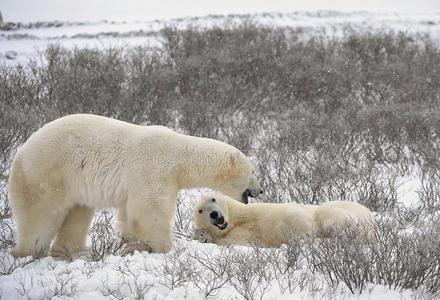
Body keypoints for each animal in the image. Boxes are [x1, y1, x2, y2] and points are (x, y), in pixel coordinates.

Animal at [7, 113, 262, 256]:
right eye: (253, 172)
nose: (261, 190)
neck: (180, 155)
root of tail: (20, 153)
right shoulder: (155, 170)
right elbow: (150, 211)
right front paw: (164, 248)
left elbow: (128, 215)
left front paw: (134, 247)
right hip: (47, 173)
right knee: (40, 215)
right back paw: (27, 251)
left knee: (77, 213)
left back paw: (73, 252)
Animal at [192, 193, 374, 247]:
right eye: (200, 210)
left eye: (213, 199)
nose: (214, 214)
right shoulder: (234, 236)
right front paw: (201, 235)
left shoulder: (261, 211)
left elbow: (291, 214)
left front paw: (306, 236)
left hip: (344, 211)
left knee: (327, 215)